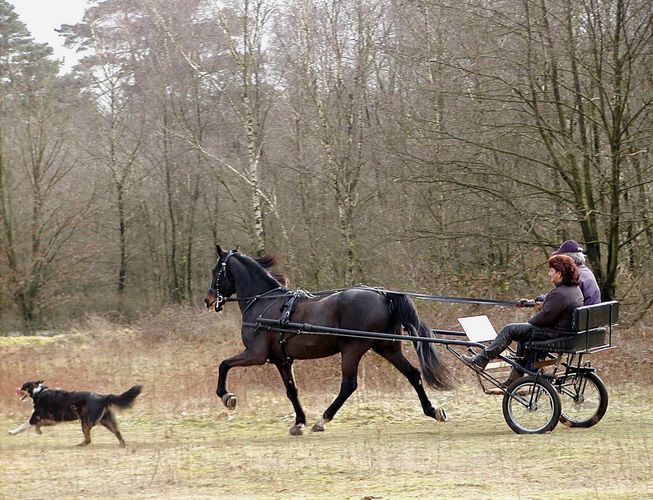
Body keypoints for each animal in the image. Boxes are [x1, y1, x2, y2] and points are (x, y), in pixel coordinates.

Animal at [8, 380, 143, 448]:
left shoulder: (35, 417)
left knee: (88, 439)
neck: (39, 392)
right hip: (106, 421)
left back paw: (79, 444)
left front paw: (12, 432)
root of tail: (102, 397)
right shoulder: (51, 419)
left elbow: (23, 426)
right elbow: (39, 425)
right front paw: (39, 431)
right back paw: (122, 445)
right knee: (118, 433)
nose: (17, 389)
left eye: (23, 386)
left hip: (85, 422)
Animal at [205, 246, 454, 434]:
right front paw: (298, 422)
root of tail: (383, 294)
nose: (207, 300)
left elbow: (223, 365)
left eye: (215, 270)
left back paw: (322, 419)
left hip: (353, 348)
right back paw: (432, 410)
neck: (264, 302)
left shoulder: (255, 355)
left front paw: (227, 396)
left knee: (349, 385)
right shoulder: (282, 360)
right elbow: (292, 390)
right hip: (387, 347)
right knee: (413, 374)